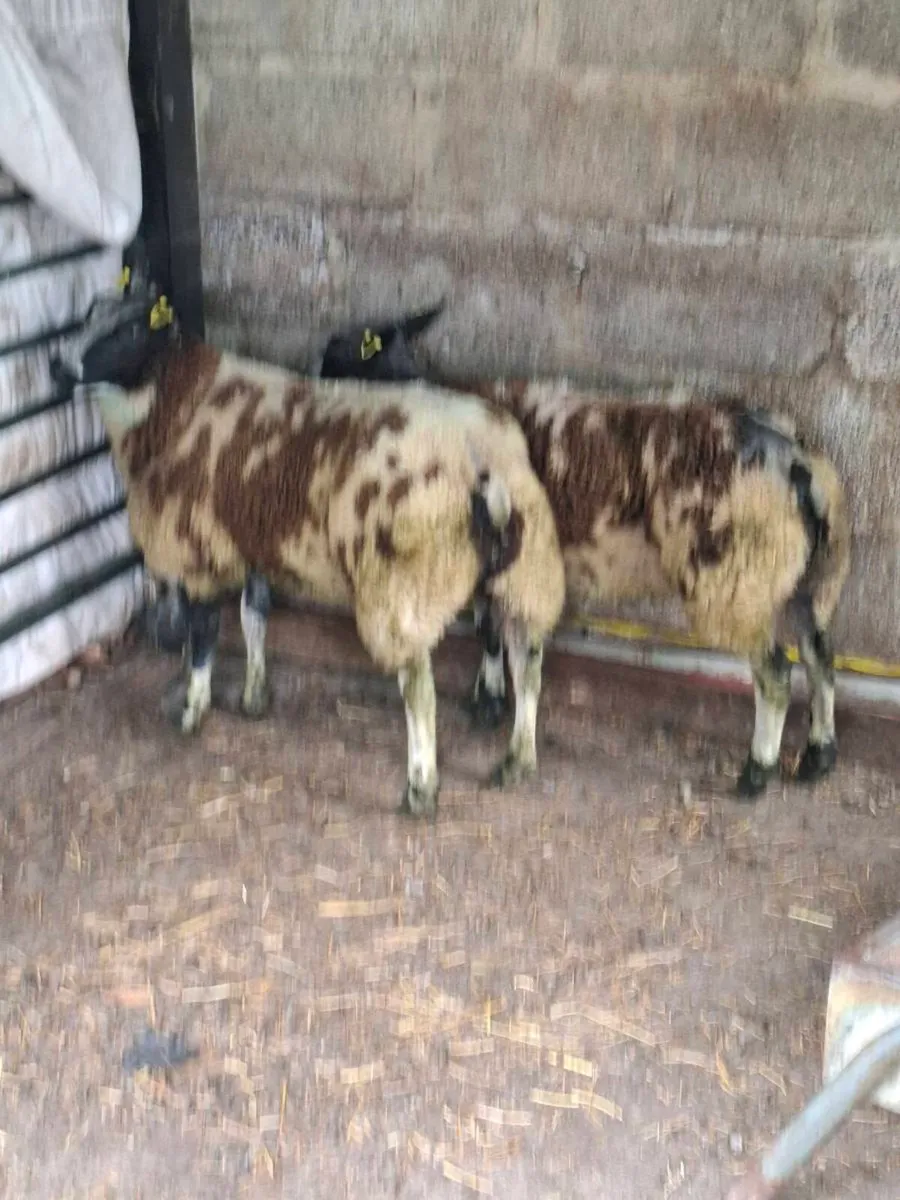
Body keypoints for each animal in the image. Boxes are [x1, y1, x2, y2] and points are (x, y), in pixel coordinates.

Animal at [51, 290, 565, 816]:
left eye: (131, 330)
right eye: (88, 315)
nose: (56, 366)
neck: (177, 401)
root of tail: (483, 463)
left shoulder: (198, 550)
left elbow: (205, 636)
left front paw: (193, 711)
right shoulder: (252, 539)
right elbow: (254, 617)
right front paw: (254, 698)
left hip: (402, 586)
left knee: (420, 689)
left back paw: (421, 789)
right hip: (527, 572)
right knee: (527, 664)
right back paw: (517, 761)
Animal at [319, 307, 851, 800]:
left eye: (340, 356)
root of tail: (797, 462)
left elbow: (489, 630)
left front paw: (489, 706)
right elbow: (492, 631)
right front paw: (489, 699)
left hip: (735, 578)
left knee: (776, 674)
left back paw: (756, 773)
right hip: (806, 578)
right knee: (820, 655)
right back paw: (818, 757)